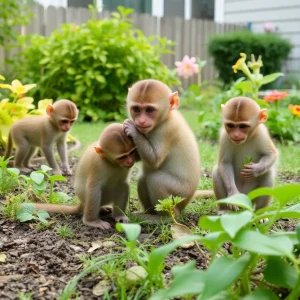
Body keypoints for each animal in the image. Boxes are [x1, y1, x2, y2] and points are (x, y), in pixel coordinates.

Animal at [122, 79, 211, 216]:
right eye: (136, 109)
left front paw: (133, 130)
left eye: (149, 110)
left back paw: (165, 217)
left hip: (180, 194)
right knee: (143, 177)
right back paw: (148, 213)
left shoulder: (167, 130)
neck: (166, 117)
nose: (141, 121)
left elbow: (155, 160)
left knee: (154, 179)